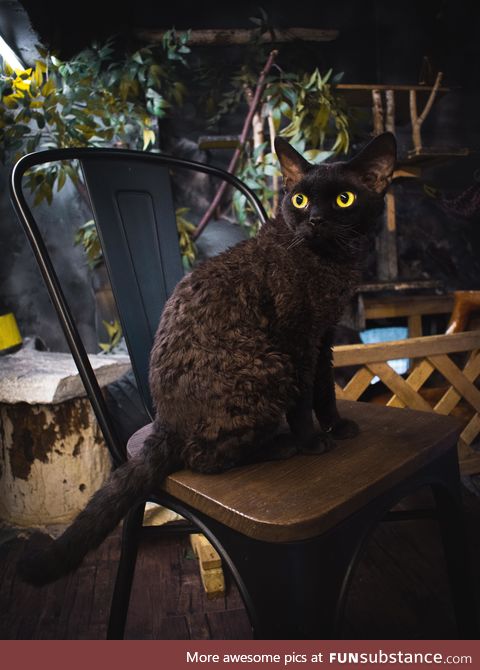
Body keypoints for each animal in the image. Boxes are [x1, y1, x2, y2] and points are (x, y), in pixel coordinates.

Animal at [16, 133, 396, 588]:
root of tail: (164, 421)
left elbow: (325, 390)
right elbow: (305, 399)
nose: (315, 220)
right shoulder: (297, 338)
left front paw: (337, 426)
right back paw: (281, 445)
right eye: (300, 200)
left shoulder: (323, 337)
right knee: (204, 458)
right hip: (271, 367)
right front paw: (312, 441)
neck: (328, 261)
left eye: (343, 199)